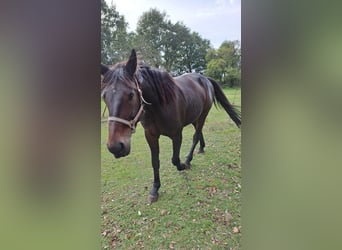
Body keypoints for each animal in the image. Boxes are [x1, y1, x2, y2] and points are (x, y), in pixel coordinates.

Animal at [101, 48, 240, 203]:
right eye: (104, 96)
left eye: (131, 94)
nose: (115, 147)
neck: (159, 105)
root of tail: (205, 79)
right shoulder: (150, 136)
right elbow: (155, 162)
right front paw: (155, 189)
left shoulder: (176, 134)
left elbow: (175, 160)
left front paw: (183, 165)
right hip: (194, 116)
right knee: (199, 132)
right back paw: (201, 148)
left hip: (203, 115)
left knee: (196, 135)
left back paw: (189, 159)